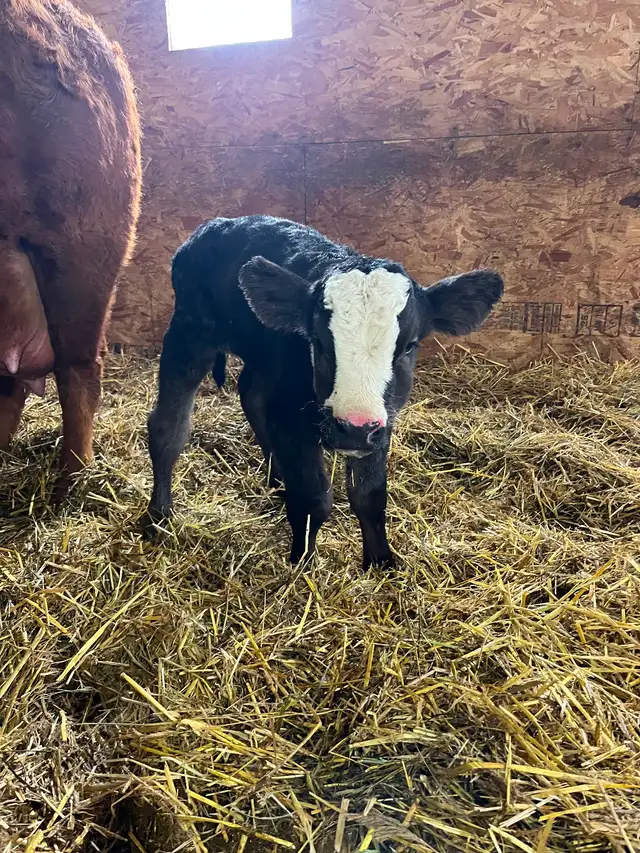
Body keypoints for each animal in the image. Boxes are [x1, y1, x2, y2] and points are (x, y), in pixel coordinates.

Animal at [146, 215, 503, 569]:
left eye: (409, 346)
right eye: (317, 342)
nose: (354, 428)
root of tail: (220, 223)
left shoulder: (381, 425)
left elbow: (370, 495)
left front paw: (381, 561)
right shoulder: (291, 418)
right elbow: (314, 497)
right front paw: (301, 561)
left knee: (251, 394)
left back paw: (277, 480)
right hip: (191, 334)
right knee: (168, 428)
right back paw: (158, 515)